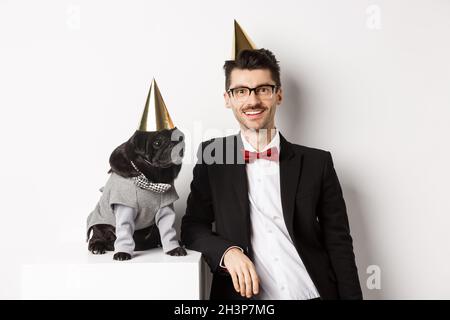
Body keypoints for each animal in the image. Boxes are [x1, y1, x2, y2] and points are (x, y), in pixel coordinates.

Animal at [86, 127, 186, 260]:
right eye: (157, 143)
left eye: (179, 138)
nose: (175, 143)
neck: (154, 177)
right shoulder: (125, 206)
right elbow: (124, 231)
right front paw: (122, 253)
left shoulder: (165, 207)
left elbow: (168, 230)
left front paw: (174, 248)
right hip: (100, 222)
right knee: (97, 236)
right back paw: (97, 246)